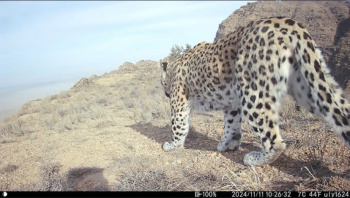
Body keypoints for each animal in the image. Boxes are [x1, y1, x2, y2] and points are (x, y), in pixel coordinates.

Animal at [160, 17, 350, 166]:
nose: (165, 92)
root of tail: (289, 23)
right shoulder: (232, 104)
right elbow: (231, 126)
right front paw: (229, 144)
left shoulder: (179, 100)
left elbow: (178, 124)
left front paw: (172, 144)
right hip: (309, 87)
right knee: (339, 112)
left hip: (254, 93)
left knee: (275, 140)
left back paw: (254, 159)